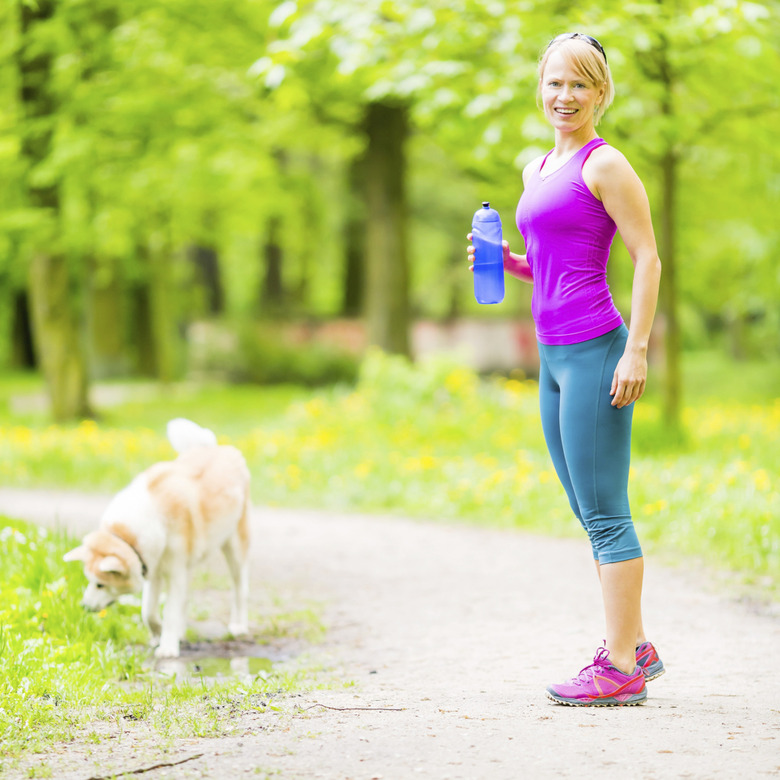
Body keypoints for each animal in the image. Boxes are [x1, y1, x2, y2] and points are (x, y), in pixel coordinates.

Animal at [66, 418, 253, 656]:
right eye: (90, 581)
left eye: (100, 584)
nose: (84, 606)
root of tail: (216, 448)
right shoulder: (152, 568)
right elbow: (148, 612)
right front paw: (158, 635)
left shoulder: (174, 572)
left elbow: (170, 612)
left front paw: (168, 647)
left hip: (234, 547)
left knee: (240, 589)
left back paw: (238, 625)